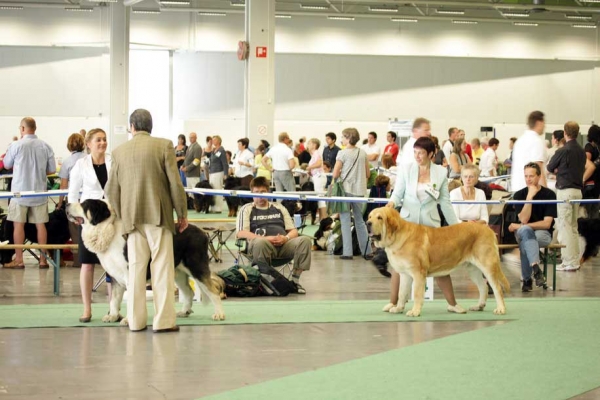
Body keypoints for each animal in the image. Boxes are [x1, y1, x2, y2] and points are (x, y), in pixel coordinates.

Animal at [66, 198, 225, 324]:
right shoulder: (115, 277)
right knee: (188, 292)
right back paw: (184, 312)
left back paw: (219, 314)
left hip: (196, 267)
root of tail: (202, 232)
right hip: (178, 272)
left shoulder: (130, 274)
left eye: (84, 205)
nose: (67, 204)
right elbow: (114, 299)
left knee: (213, 291)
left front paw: (128, 320)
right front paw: (112, 316)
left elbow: (130, 299)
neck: (108, 230)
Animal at [368, 208, 508, 318]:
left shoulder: (418, 273)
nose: (368, 223)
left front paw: (415, 311)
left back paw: (501, 309)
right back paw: (479, 306)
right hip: (473, 269)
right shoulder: (405, 274)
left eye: (379, 217)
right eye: (370, 216)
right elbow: (401, 293)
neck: (396, 236)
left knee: (497, 288)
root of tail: (487, 229)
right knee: (483, 286)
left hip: (488, 266)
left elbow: (417, 294)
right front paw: (398, 308)